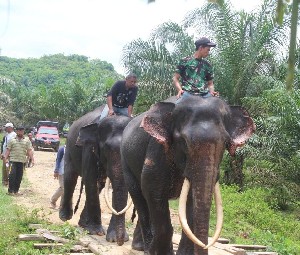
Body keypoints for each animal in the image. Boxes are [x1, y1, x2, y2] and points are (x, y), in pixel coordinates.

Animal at [59, 105, 132, 245]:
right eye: (107, 148)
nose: (120, 242)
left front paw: (114, 238)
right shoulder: (89, 148)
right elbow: (90, 180)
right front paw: (96, 232)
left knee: (99, 186)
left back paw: (83, 224)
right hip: (69, 147)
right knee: (71, 178)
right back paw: (65, 217)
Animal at [120, 96, 254, 255]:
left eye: (225, 142)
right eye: (184, 141)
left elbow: (191, 200)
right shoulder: (157, 149)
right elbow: (151, 188)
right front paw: (159, 252)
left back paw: (141, 247)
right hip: (125, 162)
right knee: (140, 198)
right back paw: (145, 249)